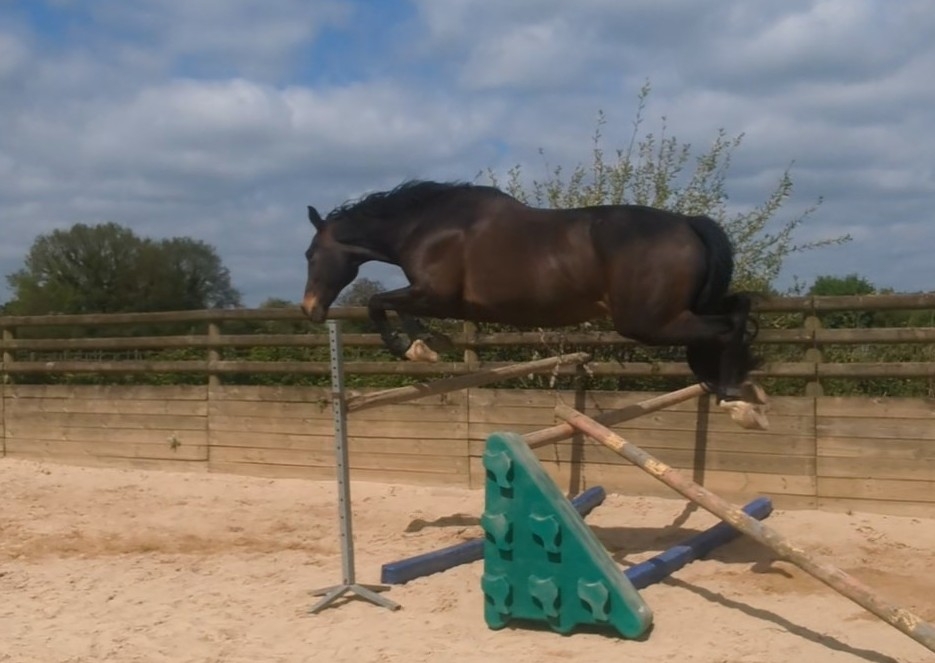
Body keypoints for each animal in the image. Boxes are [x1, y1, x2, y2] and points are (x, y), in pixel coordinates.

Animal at [300, 180, 768, 429]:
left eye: (310, 254)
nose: (310, 309)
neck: (427, 226)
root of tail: (689, 224)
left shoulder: (436, 295)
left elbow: (378, 303)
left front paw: (416, 348)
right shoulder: (436, 299)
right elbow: (394, 307)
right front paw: (430, 343)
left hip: (649, 323)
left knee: (727, 328)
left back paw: (735, 399)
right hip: (680, 311)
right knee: (737, 309)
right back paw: (746, 392)